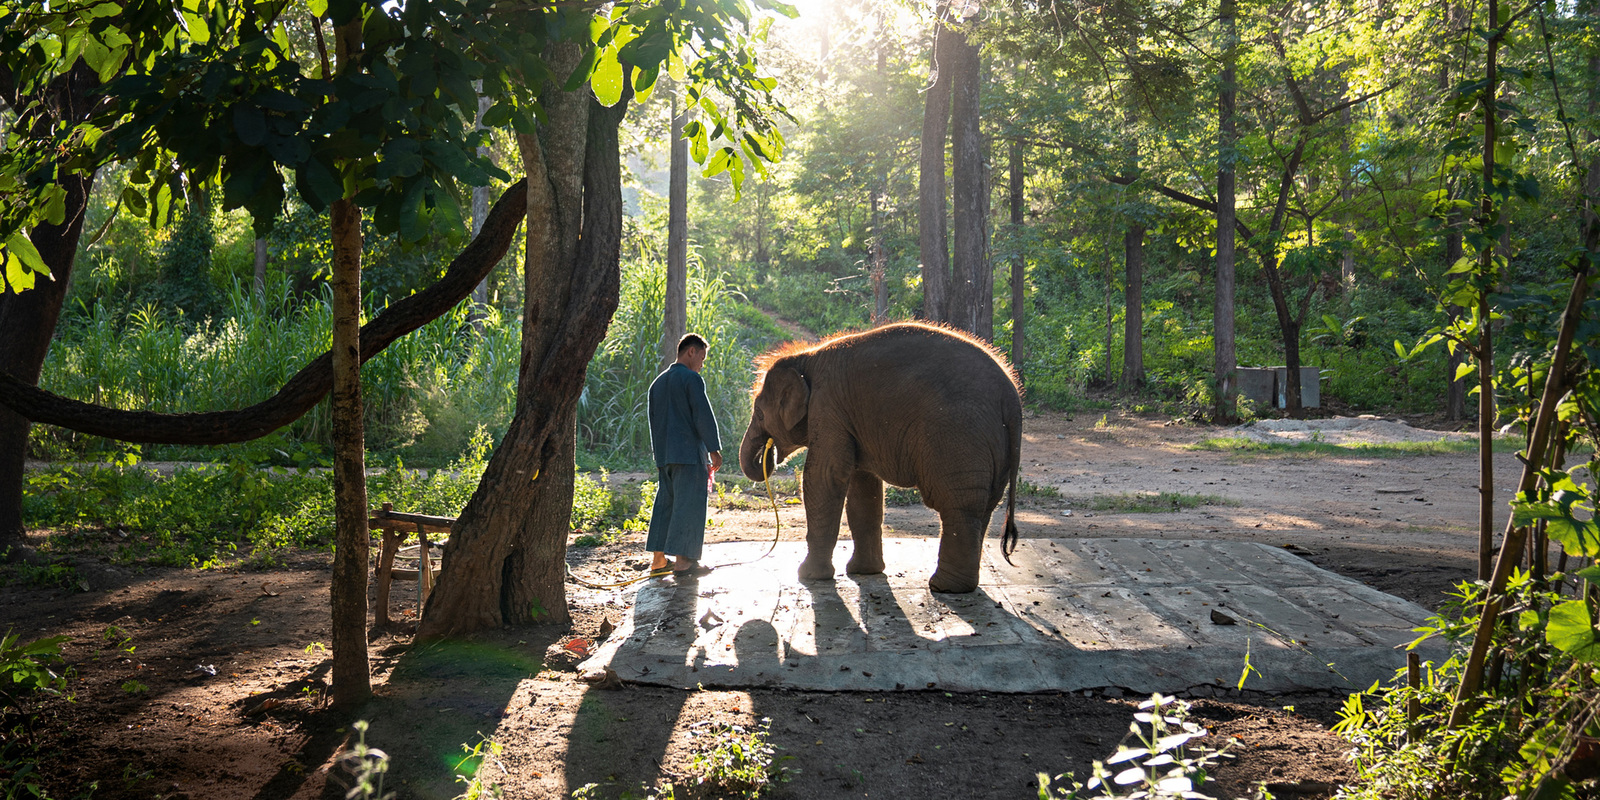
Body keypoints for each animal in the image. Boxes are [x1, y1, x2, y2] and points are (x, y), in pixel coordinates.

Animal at [739, 321, 1024, 592]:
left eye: (760, 413)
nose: (768, 458)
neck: (806, 357)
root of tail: (1012, 397)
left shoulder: (827, 407)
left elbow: (824, 477)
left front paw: (808, 576)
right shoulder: (849, 418)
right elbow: (863, 487)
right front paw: (863, 572)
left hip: (958, 437)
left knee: (958, 505)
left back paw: (945, 587)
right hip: (994, 447)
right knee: (983, 507)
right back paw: (960, 585)